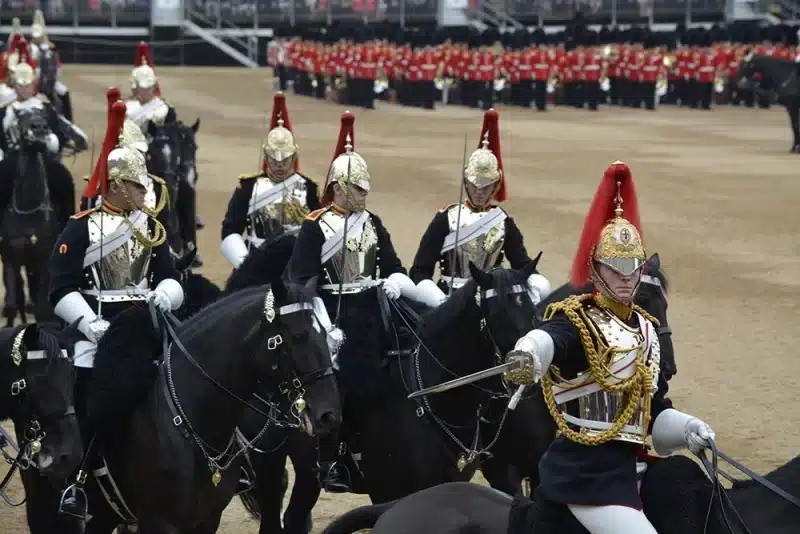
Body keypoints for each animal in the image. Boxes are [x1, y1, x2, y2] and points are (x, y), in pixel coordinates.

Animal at [0, 108, 74, 326]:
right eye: (21, 118)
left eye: (45, 118)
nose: (39, 128)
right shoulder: (11, 258)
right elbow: (12, 304)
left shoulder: (44, 260)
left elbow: (42, 306)